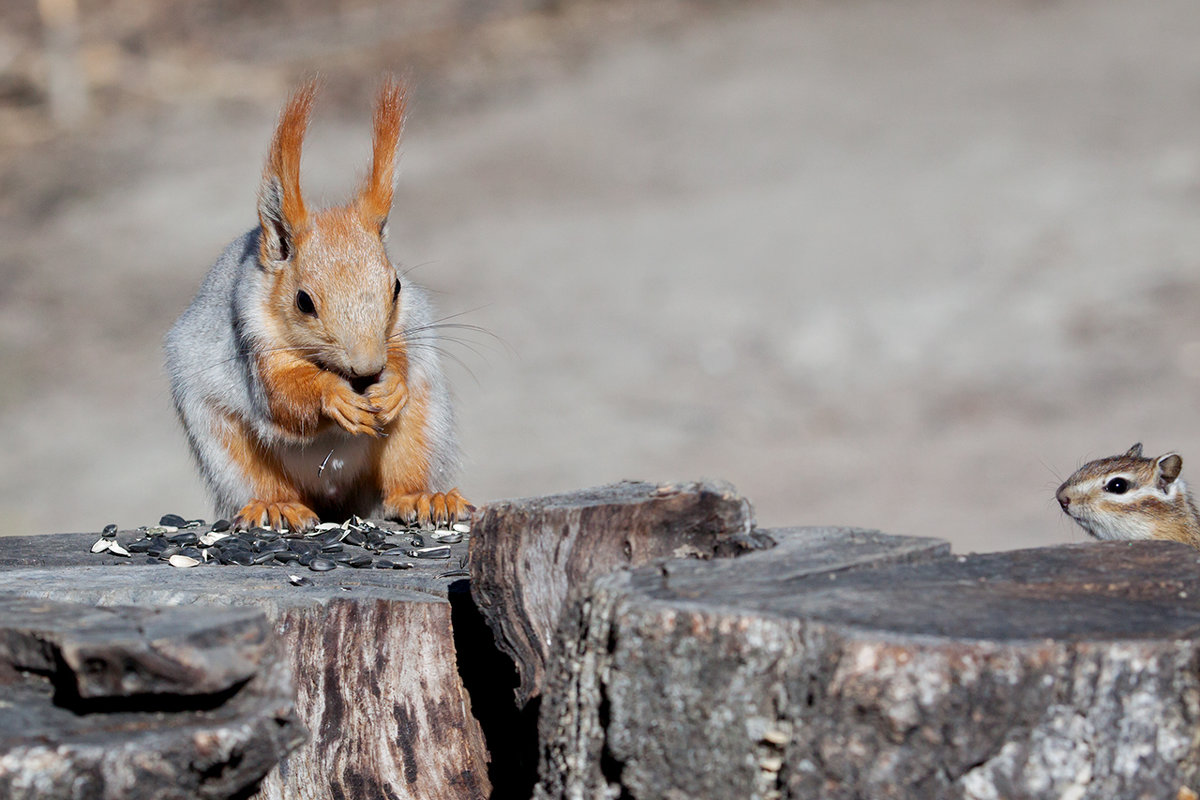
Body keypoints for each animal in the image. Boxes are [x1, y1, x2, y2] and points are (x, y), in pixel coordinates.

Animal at [163, 79, 468, 532]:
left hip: (423, 423)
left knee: (404, 473)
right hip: (226, 446)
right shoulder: (251, 336)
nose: (368, 369)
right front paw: (334, 396)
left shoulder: (408, 323)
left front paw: (391, 384)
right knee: (260, 482)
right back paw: (277, 507)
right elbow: (284, 396)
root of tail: (336, 499)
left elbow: (401, 353)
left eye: (396, 286)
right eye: (303, 302)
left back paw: (423, 496)